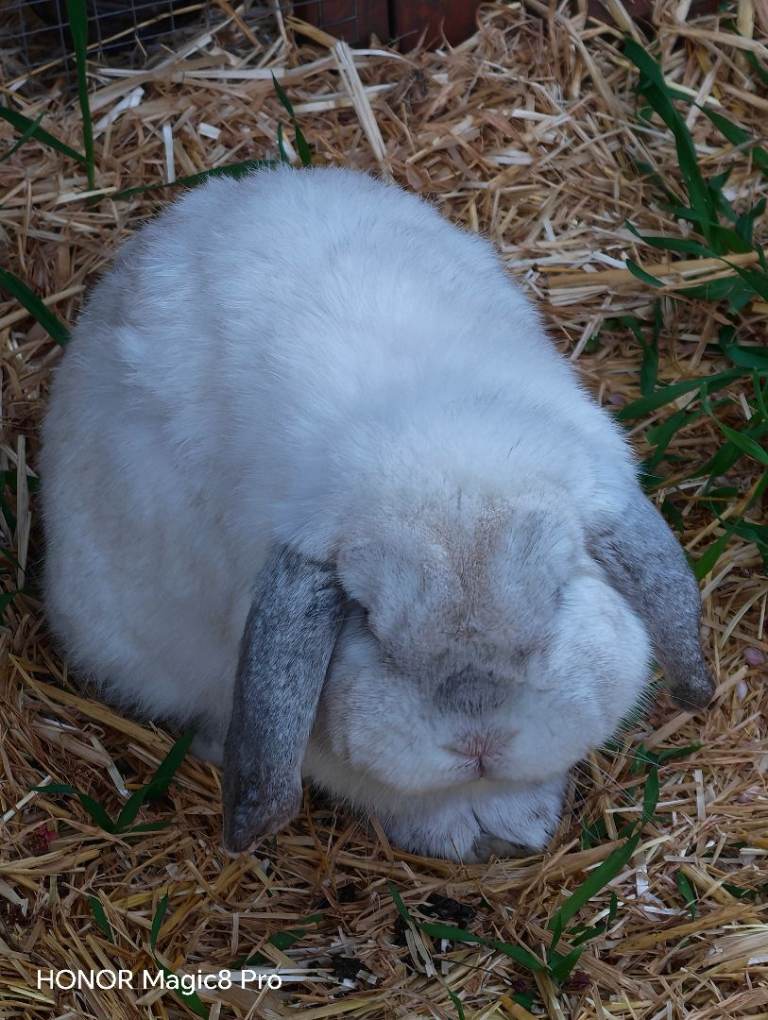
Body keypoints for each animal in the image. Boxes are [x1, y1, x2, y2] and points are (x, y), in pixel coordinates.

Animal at [40, 166, 714, 862]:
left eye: (559, 594)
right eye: (365, 620)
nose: (479, 740)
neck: (435, 435)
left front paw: (519, 818)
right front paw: (464, 830)